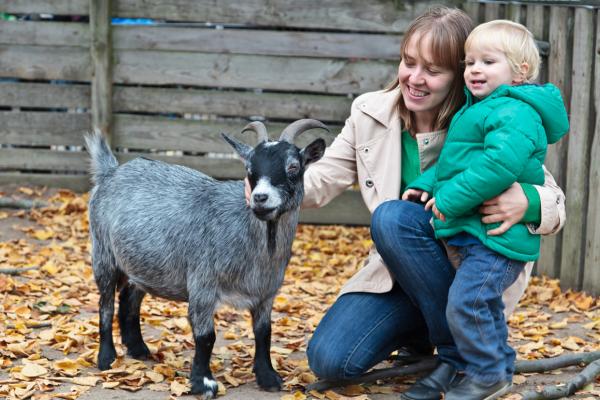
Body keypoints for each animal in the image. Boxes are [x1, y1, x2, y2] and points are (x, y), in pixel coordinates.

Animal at [84, 119, 326, 400]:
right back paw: (106, 358)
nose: (260, 198)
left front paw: (268, 377)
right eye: (249, 169)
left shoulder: (266, 292)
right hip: (103, 254)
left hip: (145, 262)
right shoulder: (202, 284)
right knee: (106, 304)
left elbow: (264, 332)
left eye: (293, 167)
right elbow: (206, 336)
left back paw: (138, 349)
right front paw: (203, 383)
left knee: (129, 300)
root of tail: (110, 172)